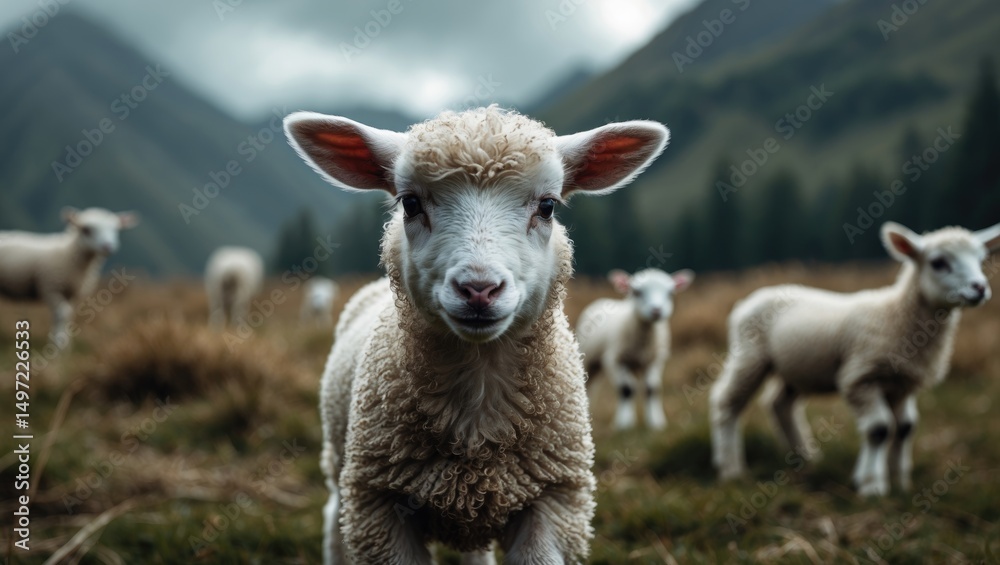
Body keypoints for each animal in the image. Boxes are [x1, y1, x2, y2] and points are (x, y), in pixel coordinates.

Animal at [0, 207, 139, 341]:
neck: (68, 252)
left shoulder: (70, 293)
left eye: (116, 229)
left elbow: (66, 315)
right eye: (86, 230)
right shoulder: (50, 288)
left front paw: (63, 341)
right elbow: (62, 314)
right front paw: (58, 343)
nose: (108, 246)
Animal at [284, 105, 669, 564]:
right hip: (341, 465)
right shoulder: (379, 508)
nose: (479, 289)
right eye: (410, 203)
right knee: (334, 519)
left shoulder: (554, 502)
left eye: (548, 206)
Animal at [576, 268, 694, 430]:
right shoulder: (615, 360)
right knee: (588, 386)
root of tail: (600, 300)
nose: (656, 310)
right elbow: (626, 389)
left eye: (670, 292)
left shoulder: (655, 360)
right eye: (637, 292)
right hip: (589, 358)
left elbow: (652, 389)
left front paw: (655, 422)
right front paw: (624, 424)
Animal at [710, 221, 1000, 496]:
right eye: (938, 262)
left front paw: (900, 482)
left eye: (980, 258)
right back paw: (731, 469)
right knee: (726, 403)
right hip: (749, 354)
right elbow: (879, 429)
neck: (896, 314)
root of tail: (752, 298)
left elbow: (905, 428)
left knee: (780, 404)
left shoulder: (904, 384)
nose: (980, 288)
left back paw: (806, 457)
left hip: (796, 367)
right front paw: (872, 485)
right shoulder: (860, 378)